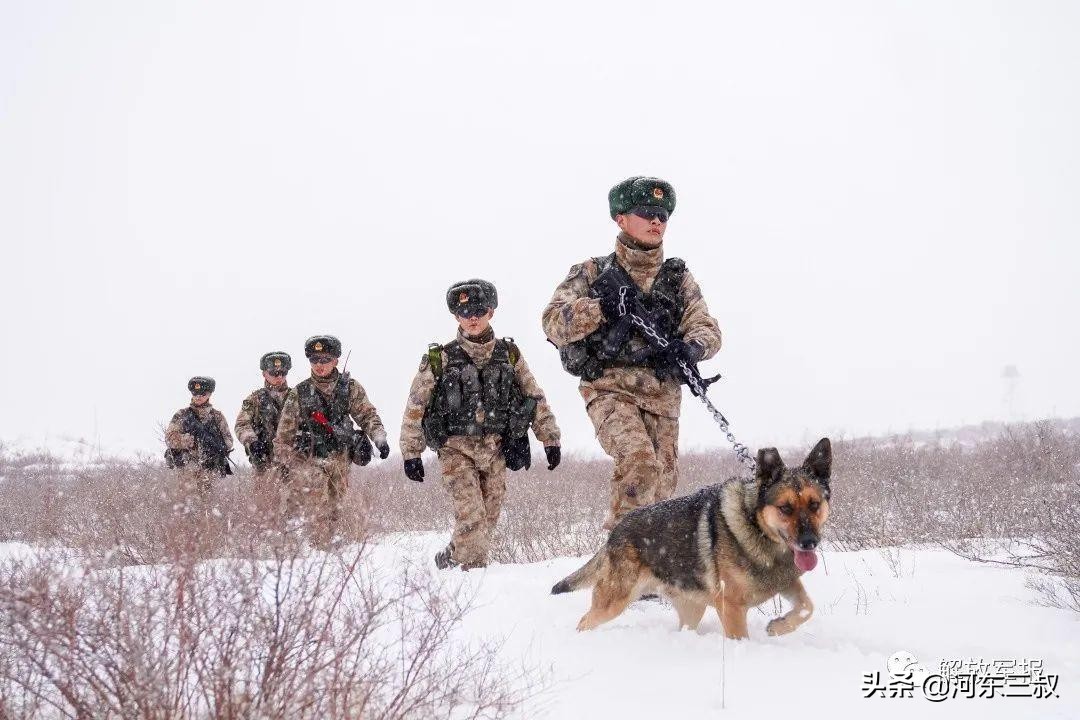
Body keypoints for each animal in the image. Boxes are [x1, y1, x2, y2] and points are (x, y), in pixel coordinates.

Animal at [552, 440, 829, 634]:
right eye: (785, 508)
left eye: (814, 505)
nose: (809, 542)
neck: (757, 527)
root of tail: (617, 530)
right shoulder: (731, 607)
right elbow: (741, 638)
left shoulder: (786, 581)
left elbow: (807, 607)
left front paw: (779, 626)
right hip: (613, 601)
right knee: (585, 620)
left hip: (692, 609)